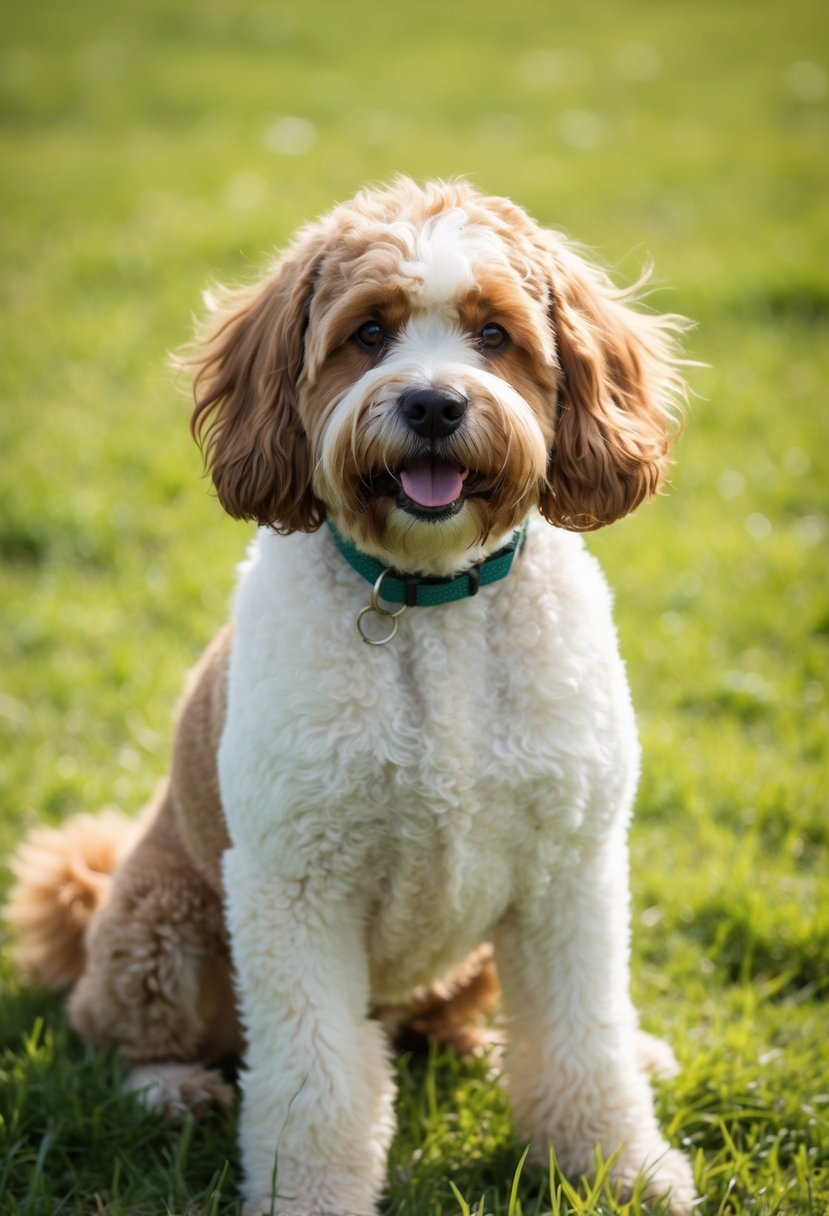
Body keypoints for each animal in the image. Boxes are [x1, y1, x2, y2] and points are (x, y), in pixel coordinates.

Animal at [6, 176, 695, 1211]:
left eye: (494, 334)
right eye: (368, 333)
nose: (434, 404)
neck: (431, 603)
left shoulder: (566, 874)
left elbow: (584, 1040)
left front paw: (619, 1168)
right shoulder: (296, 887)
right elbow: (315, 1080)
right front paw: (309, 1195)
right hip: (163, 917)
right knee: (119, 1024)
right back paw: (170, 1090)